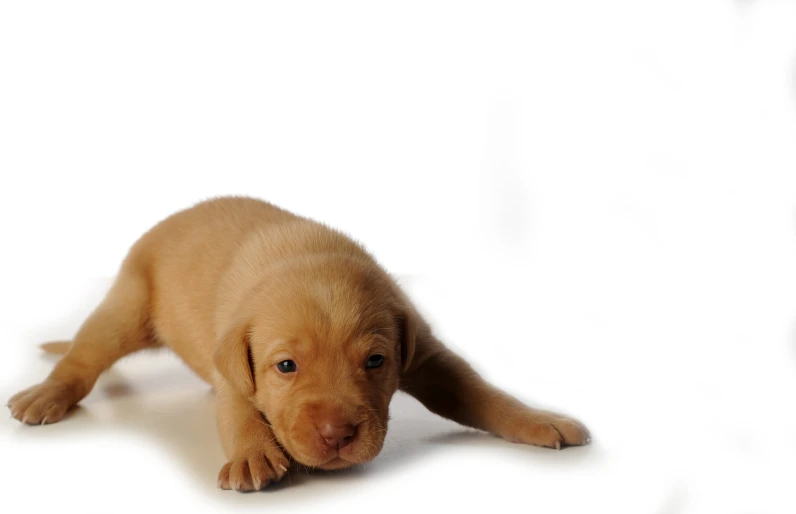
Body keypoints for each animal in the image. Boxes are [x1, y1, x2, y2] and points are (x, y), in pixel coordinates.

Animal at [7, 195, 592, 488]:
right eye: (285, 366)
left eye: (376, 361)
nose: (337, 436)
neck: (307, 257)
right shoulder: (233, 360)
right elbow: (238, 409)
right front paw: (252, 453)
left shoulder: (423, 352)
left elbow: (479, 392)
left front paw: (539, 418)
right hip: (127, 302)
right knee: (84, 357)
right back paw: (46, 394)